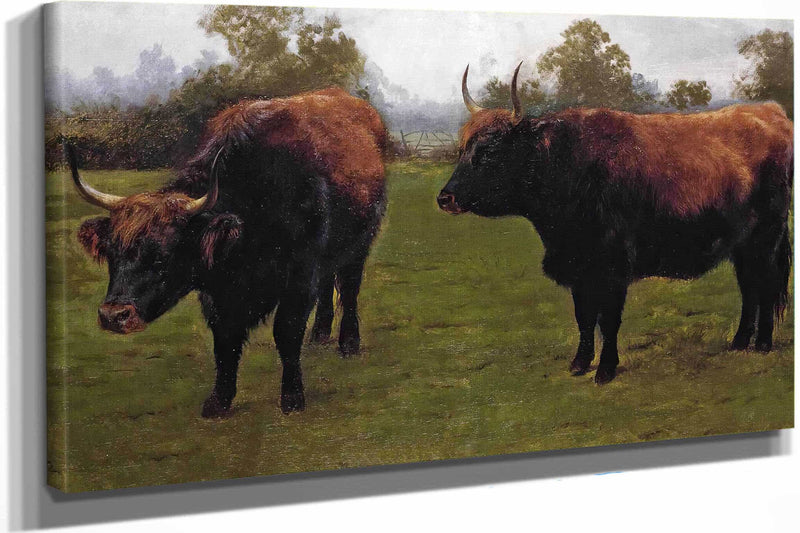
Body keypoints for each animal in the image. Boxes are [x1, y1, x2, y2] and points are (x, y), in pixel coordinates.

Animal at [67, 87, 387, 417]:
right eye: (112, 254)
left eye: (162, 256)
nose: (113, 316)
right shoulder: (219, 293)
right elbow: (224, 341)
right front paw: (218, 401)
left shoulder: (300, 276)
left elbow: (286, 333)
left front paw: (292, 398)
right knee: (328, 287)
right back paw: (320, 335)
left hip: (360, 244)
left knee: (348, 289)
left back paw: (348, 343)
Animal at [438, 64, 792, 385]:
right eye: (463, 149)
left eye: (489, 150)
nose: (445, 198)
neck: (568, 164)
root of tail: (770, 111)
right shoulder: (579, 267)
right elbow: (584, 317)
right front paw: (580, 363)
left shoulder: (612, 266)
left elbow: (608, 320)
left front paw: (606, 370)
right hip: (743, 245)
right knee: (749, 288)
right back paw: (739, 342)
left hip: (766, 239)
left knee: (765, 285)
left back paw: (762, 344)